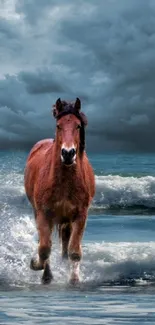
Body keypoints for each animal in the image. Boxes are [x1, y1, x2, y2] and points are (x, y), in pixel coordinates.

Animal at [24, 97, 95, 284]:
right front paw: (37, 266)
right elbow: (44, 248)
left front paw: (74, 279)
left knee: (65, 242)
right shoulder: (43, 214)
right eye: (58, 125)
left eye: (78, 126)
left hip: (66, 219)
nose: (68, 153)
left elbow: (74, 251)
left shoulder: (80, 215)